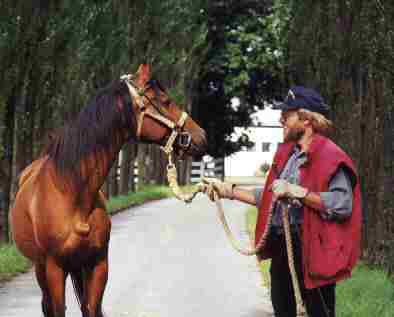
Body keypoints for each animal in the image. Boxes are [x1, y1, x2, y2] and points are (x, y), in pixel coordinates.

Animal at [9, 64, 208, 316]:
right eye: (165, 100)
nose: (202, 136)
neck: (71, 192)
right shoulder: (55, 267)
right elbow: (58, 308)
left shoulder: (98, 264)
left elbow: (92, 308)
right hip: (41, 268)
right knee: (47, 305)